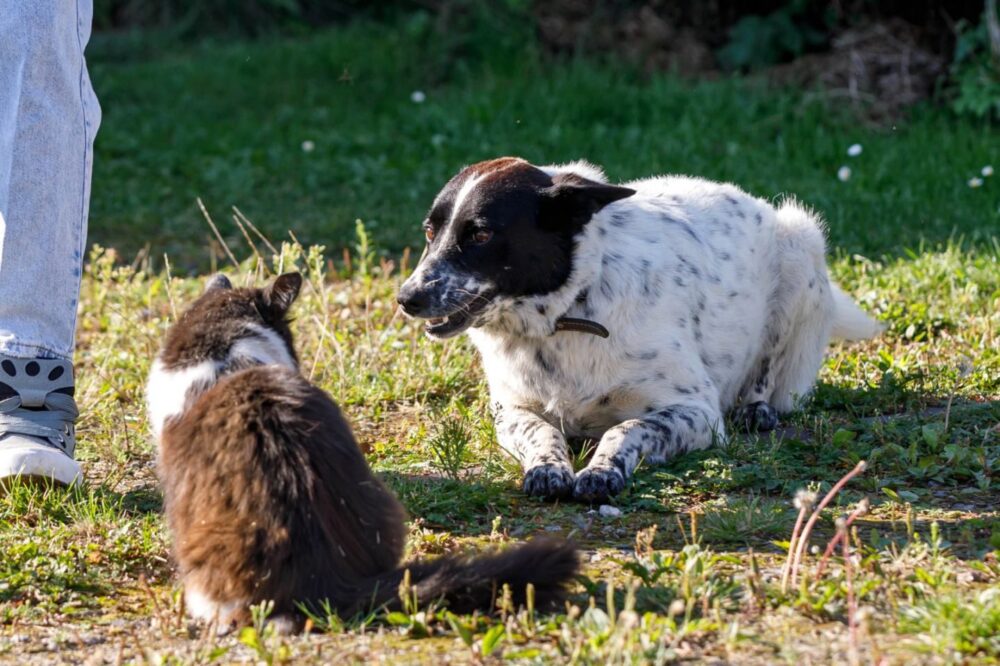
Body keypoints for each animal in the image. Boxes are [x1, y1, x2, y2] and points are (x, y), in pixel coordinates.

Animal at [397, 157, 881, 502]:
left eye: (480, 234)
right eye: (429, 232)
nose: (406, 297)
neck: (569, 312)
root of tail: (750, 199)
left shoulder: (697, 411)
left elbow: (626, 429)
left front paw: (601, 470)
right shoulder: (512, 410)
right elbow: (542, 432)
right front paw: (549, 467)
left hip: (800, 242)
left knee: (767, 370)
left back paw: (756, 408)